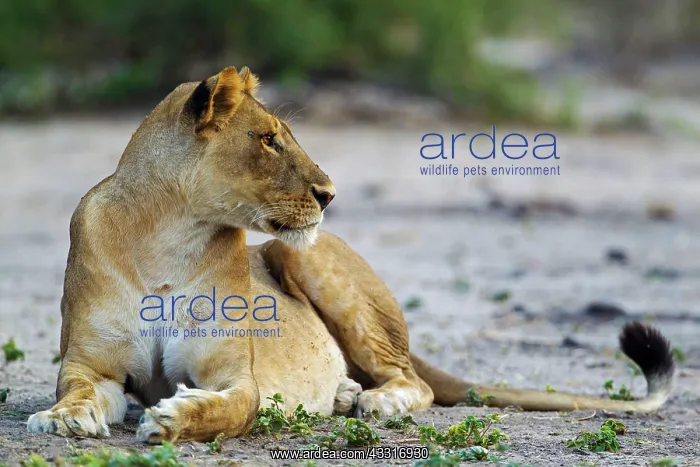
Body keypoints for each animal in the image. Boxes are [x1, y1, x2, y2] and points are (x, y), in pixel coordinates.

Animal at [27, 66, 675, 443]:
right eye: (268, 139)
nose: (330, 193)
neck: (170, 235)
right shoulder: (90, 362)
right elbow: (78, 387)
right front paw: (65, 418)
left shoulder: (236, 376)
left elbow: (232, 408)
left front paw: (173, 418)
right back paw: (340, 395)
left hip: (306, 260)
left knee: (416, 382)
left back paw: (376, 402)